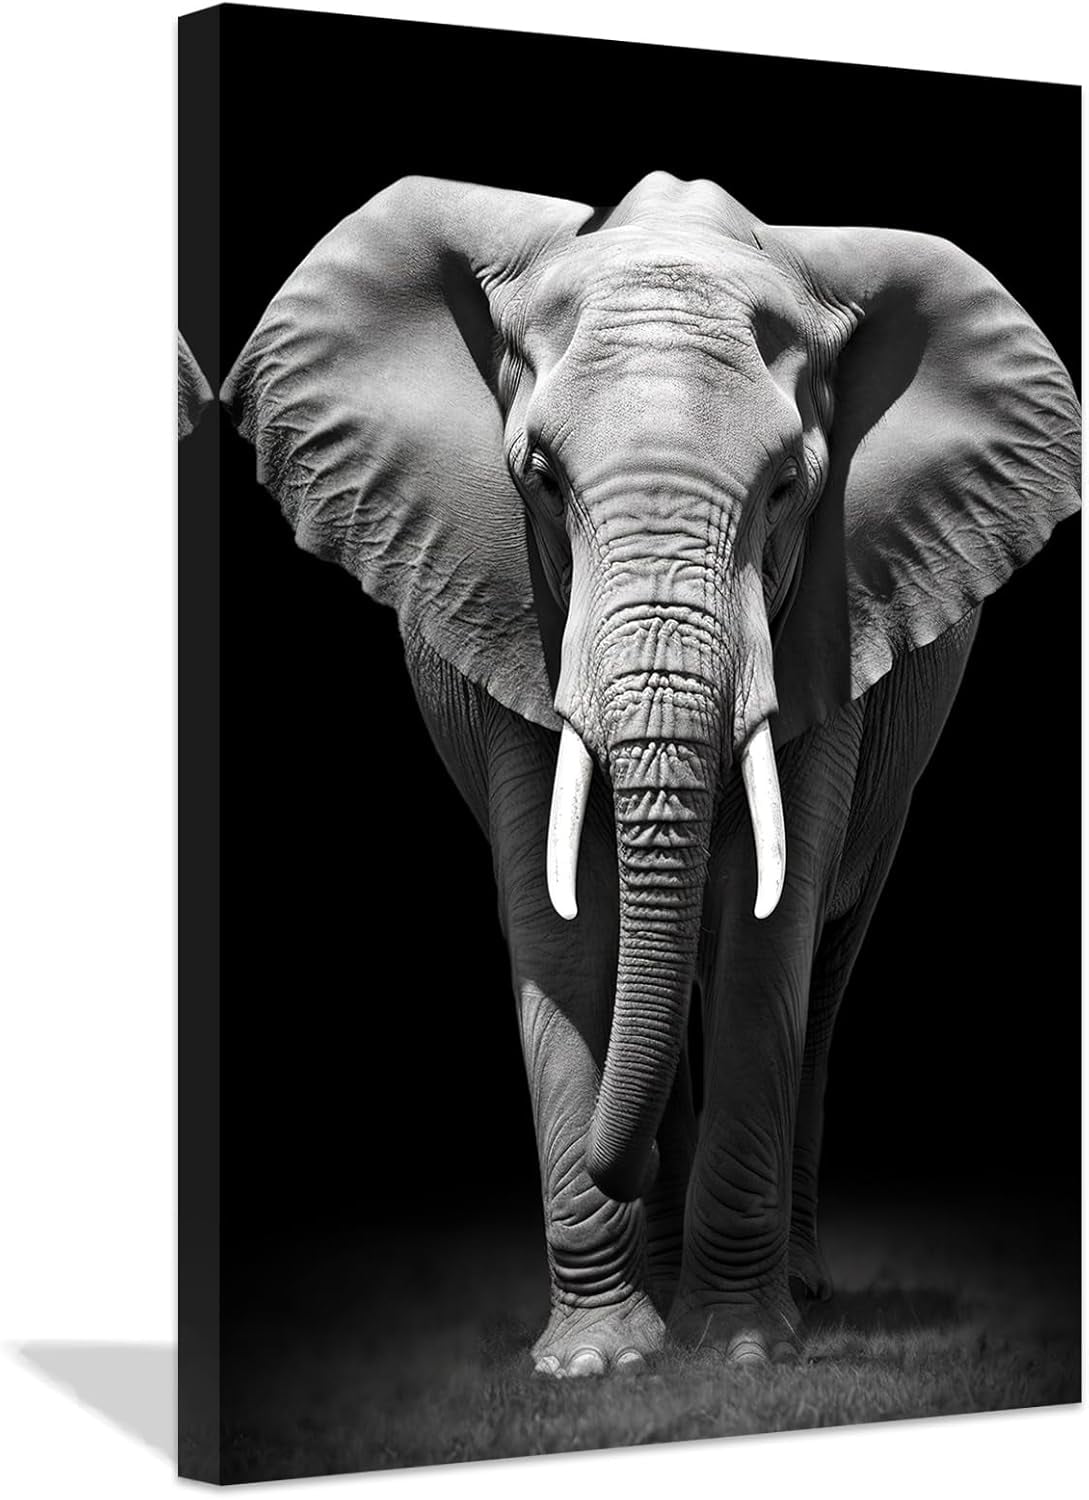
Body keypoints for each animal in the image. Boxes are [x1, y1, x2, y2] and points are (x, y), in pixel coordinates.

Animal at [222, 173, 1080, 1373]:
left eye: (786, 490)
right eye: (538, 479)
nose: (609, 1165)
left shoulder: (832, 611)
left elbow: (770, 932)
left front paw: (736, 1351)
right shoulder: (509, 601)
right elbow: (565, 924)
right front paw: (600, 1364)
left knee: (821, 968)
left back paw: (791, 1289)